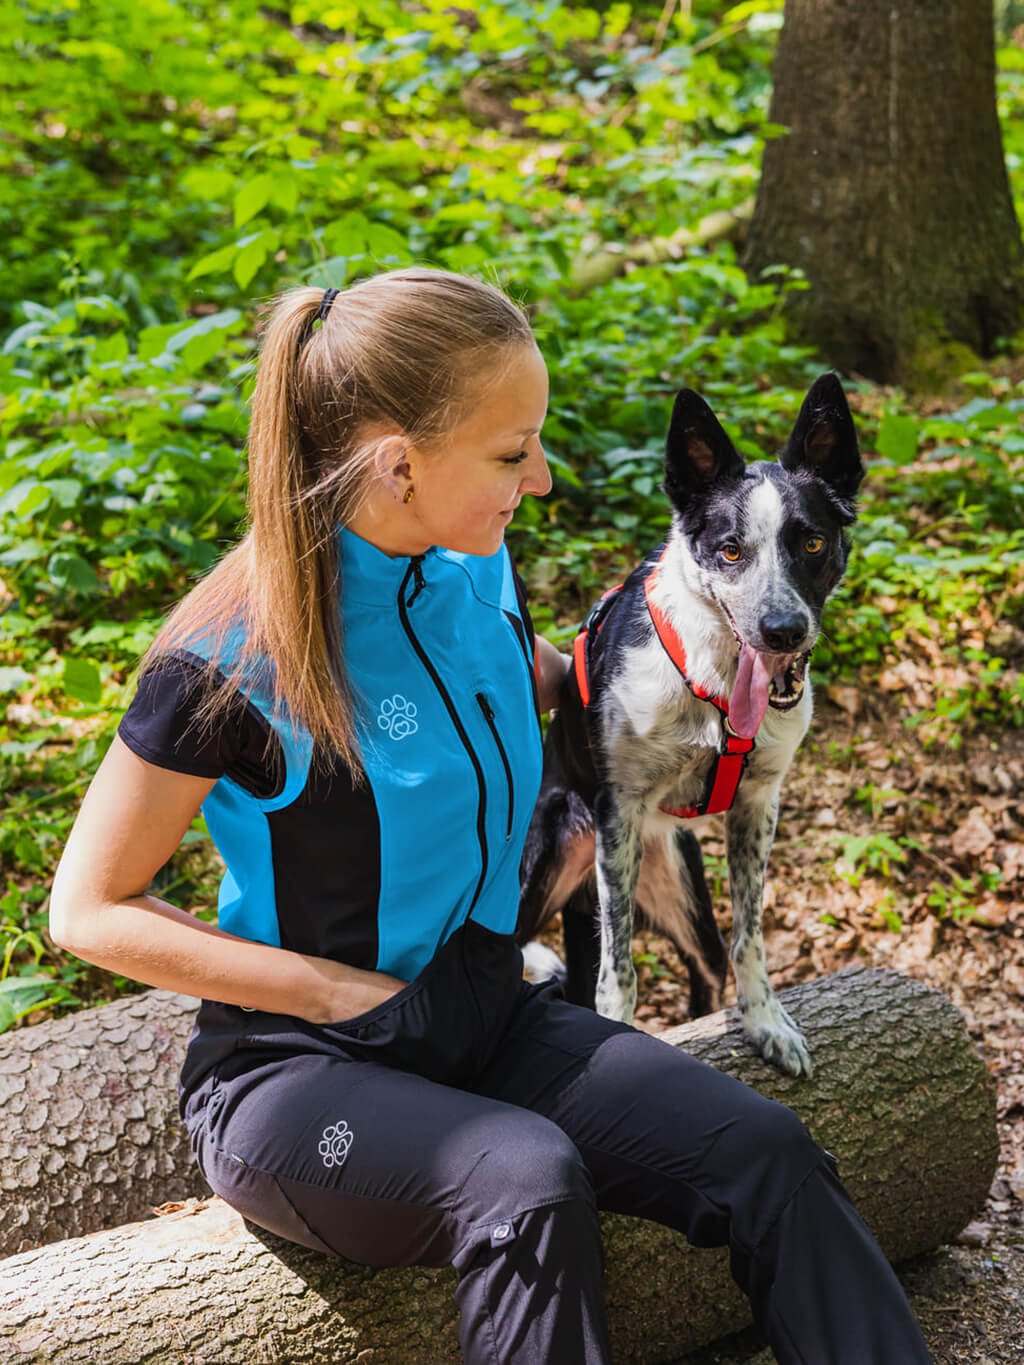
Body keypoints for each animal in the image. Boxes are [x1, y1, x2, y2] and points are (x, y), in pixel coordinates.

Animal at [521, 374, 868, 1075]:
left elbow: (750, 935)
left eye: (812, 543)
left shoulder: (758, 803)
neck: (715, 684)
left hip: (684, 891)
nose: (782, 631)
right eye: (730, 550)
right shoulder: (619, 812)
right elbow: (618, 969)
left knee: (705, 972)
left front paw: (765, 1022)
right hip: (552, 853)